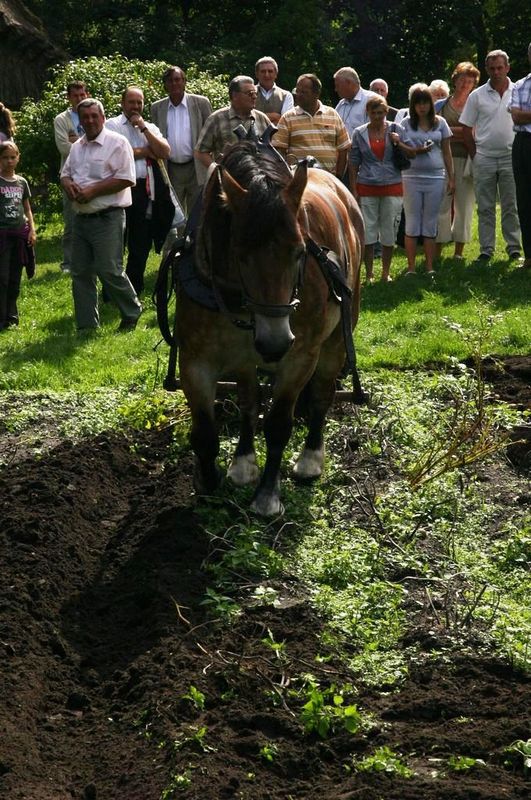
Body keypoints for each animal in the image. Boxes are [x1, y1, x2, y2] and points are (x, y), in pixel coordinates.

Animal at [171, 137, 364, 516]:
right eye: (239, 252)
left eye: (300, 251)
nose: (274, 343)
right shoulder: (195, 359)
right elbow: (205, 432)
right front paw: (208, 482)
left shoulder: (300, 356)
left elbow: (278, 425)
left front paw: (267, 495)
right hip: (246, 359)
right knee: (249, 401)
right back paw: (243, 462)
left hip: (337, 338)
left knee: (322, 395)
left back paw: (311, 457)